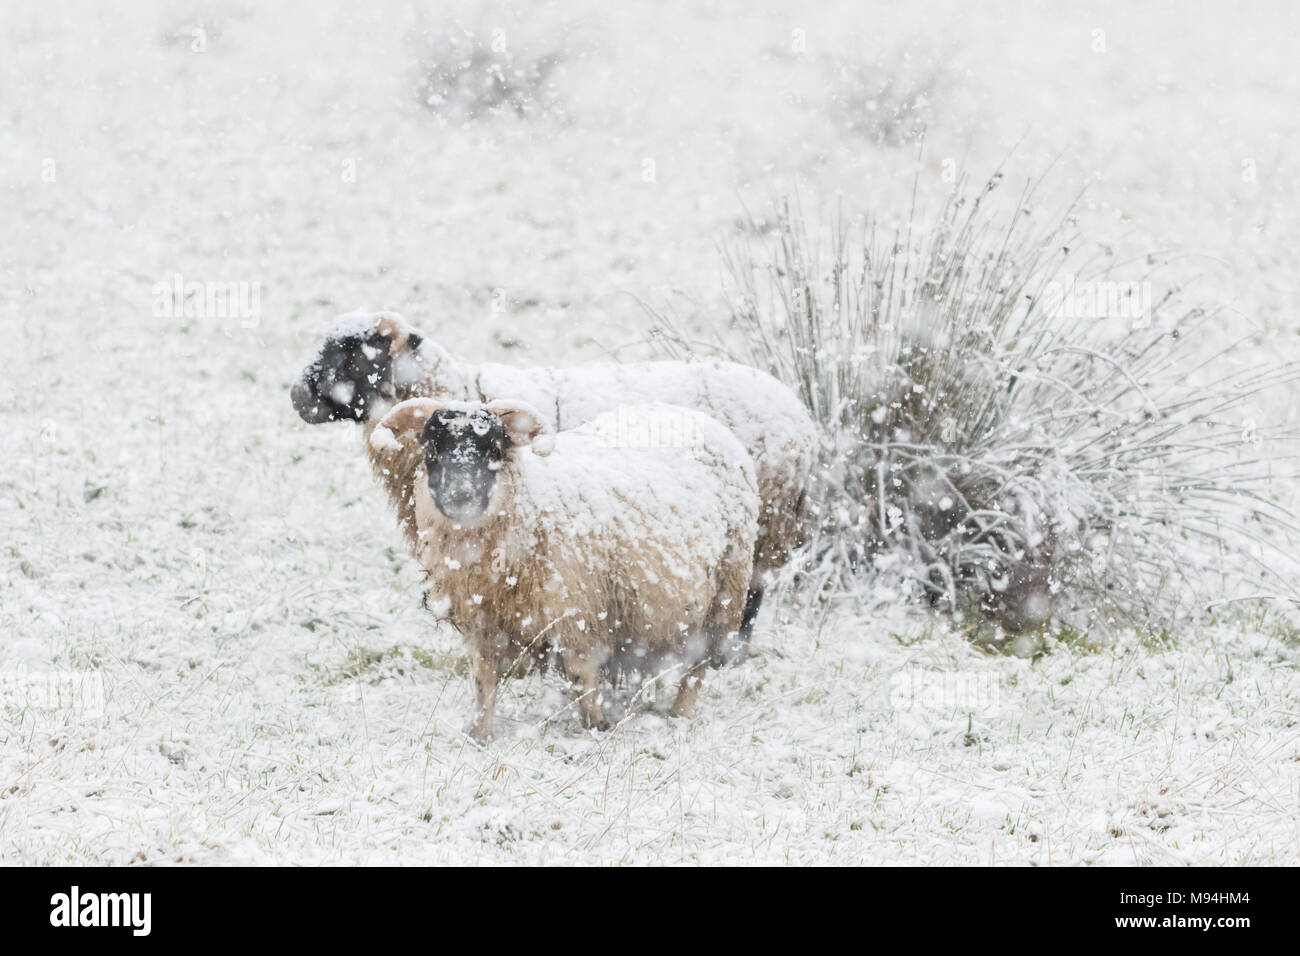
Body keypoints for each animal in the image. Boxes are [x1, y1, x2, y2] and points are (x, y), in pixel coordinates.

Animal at [292, 310, 811, 655]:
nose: (298, 395)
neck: (461, 391)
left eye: (354, 354)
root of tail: (801, 413)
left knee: (749, 595)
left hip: (763, 527)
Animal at [371, 395, 759, 738]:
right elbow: (484, 682)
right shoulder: (483, 625)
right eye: (431, 450)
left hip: (725, 593)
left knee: (698, 666)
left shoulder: (578, 617)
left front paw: (596, 730)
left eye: (494, 450)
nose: (461, 495)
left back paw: (680, 715)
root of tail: (704, 420)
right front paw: (478, 734)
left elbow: (581, 678)